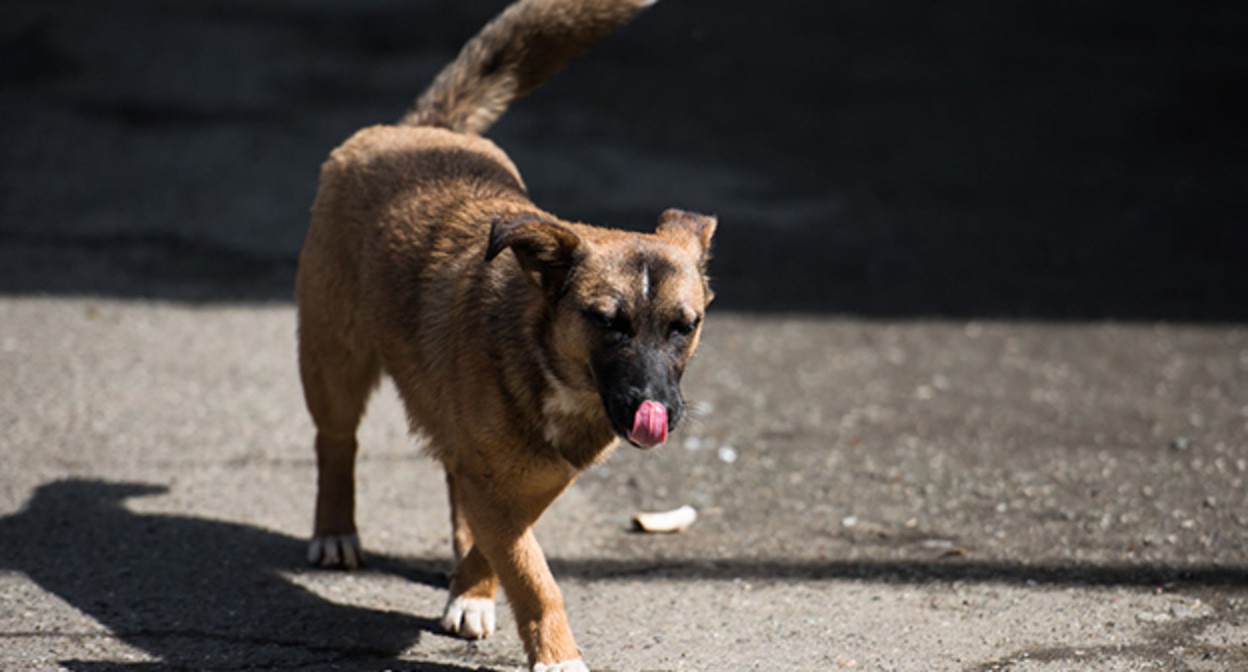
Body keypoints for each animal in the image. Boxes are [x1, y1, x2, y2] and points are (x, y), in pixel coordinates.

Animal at [290, 1, 713, 669]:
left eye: (684, 327)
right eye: (607, 321)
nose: (658, 411)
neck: (555, 370)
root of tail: (422, 130)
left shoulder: (540, 475)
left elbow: (505, 545)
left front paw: (471, 590)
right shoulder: (498, 479)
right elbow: (533, 575)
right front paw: (557, 653)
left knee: (446, 474)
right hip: (333, 357)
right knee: (336, 443)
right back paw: (335, 531)